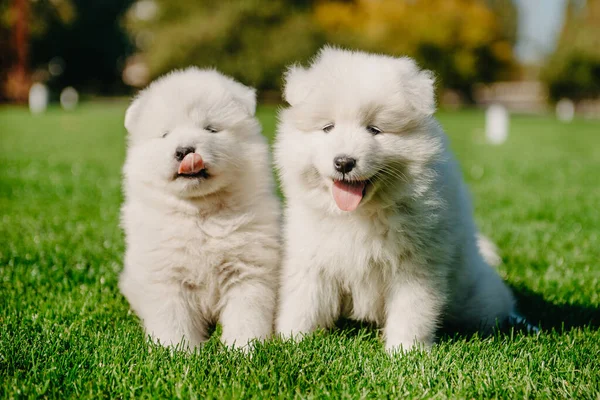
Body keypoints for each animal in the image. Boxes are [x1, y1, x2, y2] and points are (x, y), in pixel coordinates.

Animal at [120, 68, 282, 350]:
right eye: (165, 134)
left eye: (211, 129)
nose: (185, 150)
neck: (201, 213)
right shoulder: (166, 276)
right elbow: (173, 319)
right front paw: (177, 351)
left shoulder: (248, 269)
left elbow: (246, 314)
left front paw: (243, 349)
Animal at [276, 47, 516, 354]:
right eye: (328, 128)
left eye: (374, 130)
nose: (344, 162)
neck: (361, 214)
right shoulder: (312, 256)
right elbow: (303, 301)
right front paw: (289, 341)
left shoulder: (416, 266)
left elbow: (411, 311)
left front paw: (405, 352)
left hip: (478, 301)